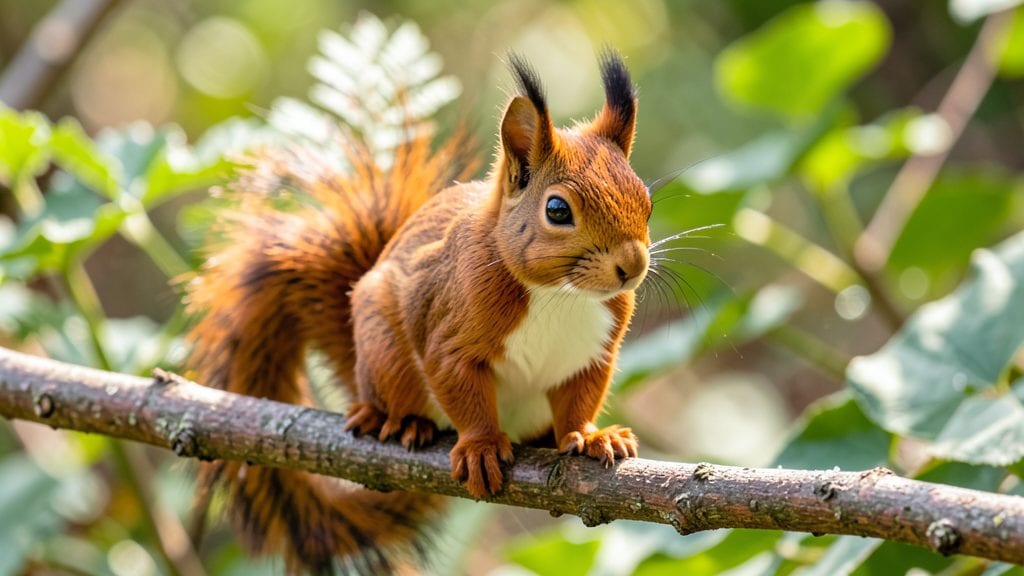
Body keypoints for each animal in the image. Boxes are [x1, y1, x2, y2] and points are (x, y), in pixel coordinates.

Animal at [185, 49, 650, 575]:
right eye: (557, 210)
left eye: (647, 200)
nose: (632, 266)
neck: (561, 294)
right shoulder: (449, 332)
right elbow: (460, 387)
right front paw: (481, 447)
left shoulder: (592, 354)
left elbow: (580, 398)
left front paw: (591, 436)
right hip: (385, 353)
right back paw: (398, 420)